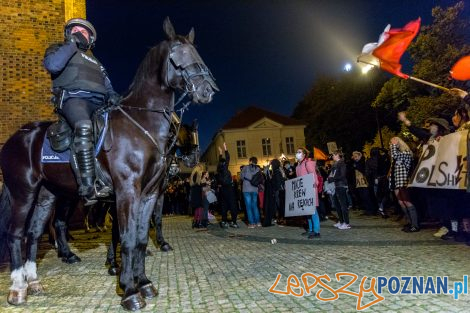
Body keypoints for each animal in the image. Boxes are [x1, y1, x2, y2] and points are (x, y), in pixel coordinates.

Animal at [0, 17, 217, 310]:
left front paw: (144, 283)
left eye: (196, 53)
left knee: (33, 234)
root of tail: (15, 138)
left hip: (46, 195)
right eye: (177, 54)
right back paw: (18, 288)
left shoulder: (149, 194)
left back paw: (34, 282)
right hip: (24, 192)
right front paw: (129, 291)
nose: (207, 90)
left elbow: (140, 238)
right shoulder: (126, 191)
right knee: (16, 234)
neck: (141, 124)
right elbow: (126, 238)